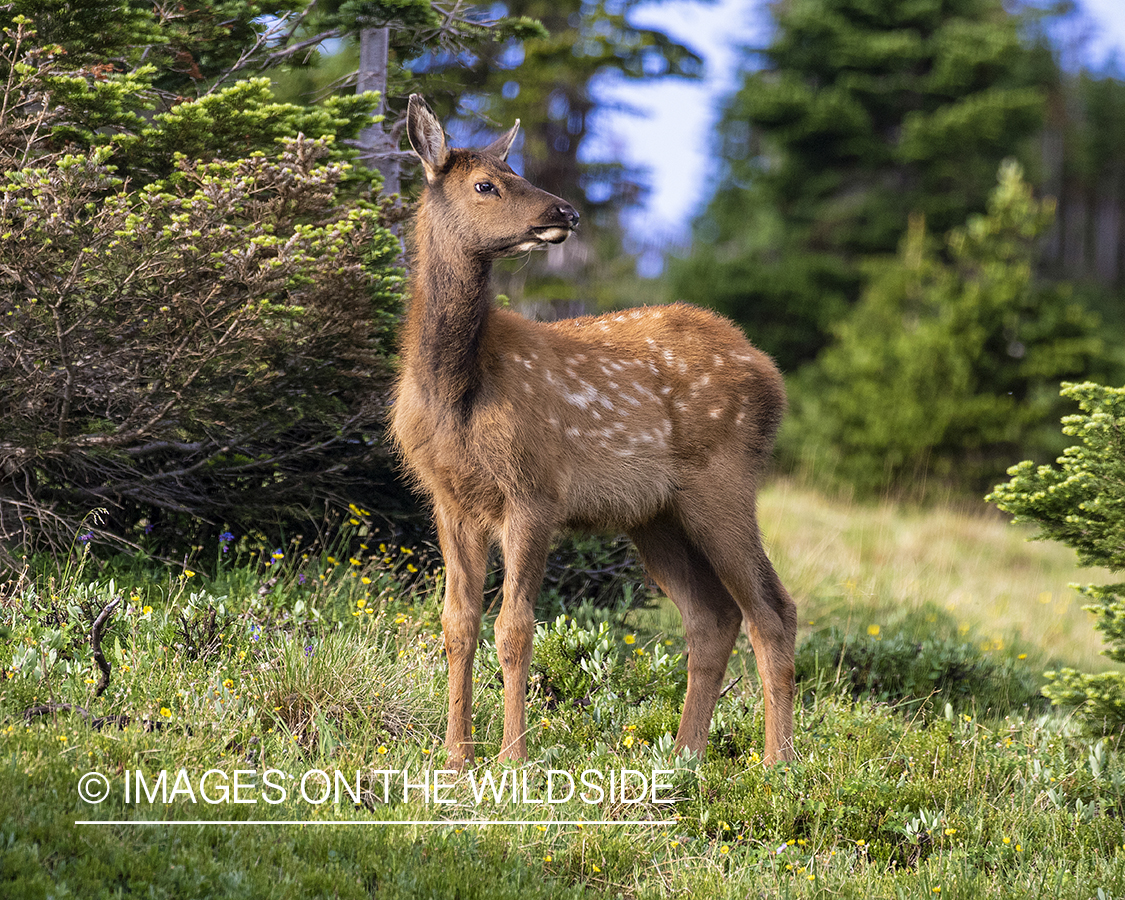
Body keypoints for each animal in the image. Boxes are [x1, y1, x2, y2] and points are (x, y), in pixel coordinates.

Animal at [391, 96, 796, 774]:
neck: (455, 392)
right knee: (713, 616)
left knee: (772, 609)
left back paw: (778, 764)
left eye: (519, 172)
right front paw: (454, 759)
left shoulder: (534, 490)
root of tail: (772, 375)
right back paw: (684, 757)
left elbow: (514, 627)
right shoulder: (450, 498)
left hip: (724, 480)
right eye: (487, 183)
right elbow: (457, 623)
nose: (565, 212)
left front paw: (512, 758)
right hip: (655, 516)